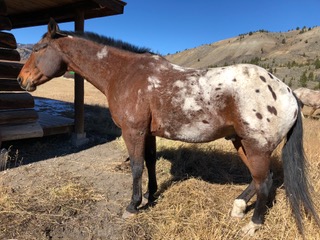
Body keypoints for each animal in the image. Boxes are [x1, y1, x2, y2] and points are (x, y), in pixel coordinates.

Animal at [17, 19, 320, 236]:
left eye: (38, 49)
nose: (21, 80)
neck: (125, 73)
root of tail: (287, 90)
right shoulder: (148, 133)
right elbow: (150, 162)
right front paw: (151, 196)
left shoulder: (133, 131)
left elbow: (136, 166)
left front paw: (133, 205)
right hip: (241, 142)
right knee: (258, 180)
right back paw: (238, 207)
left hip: (255, 146)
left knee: (264, 181)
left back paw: (253, 224)